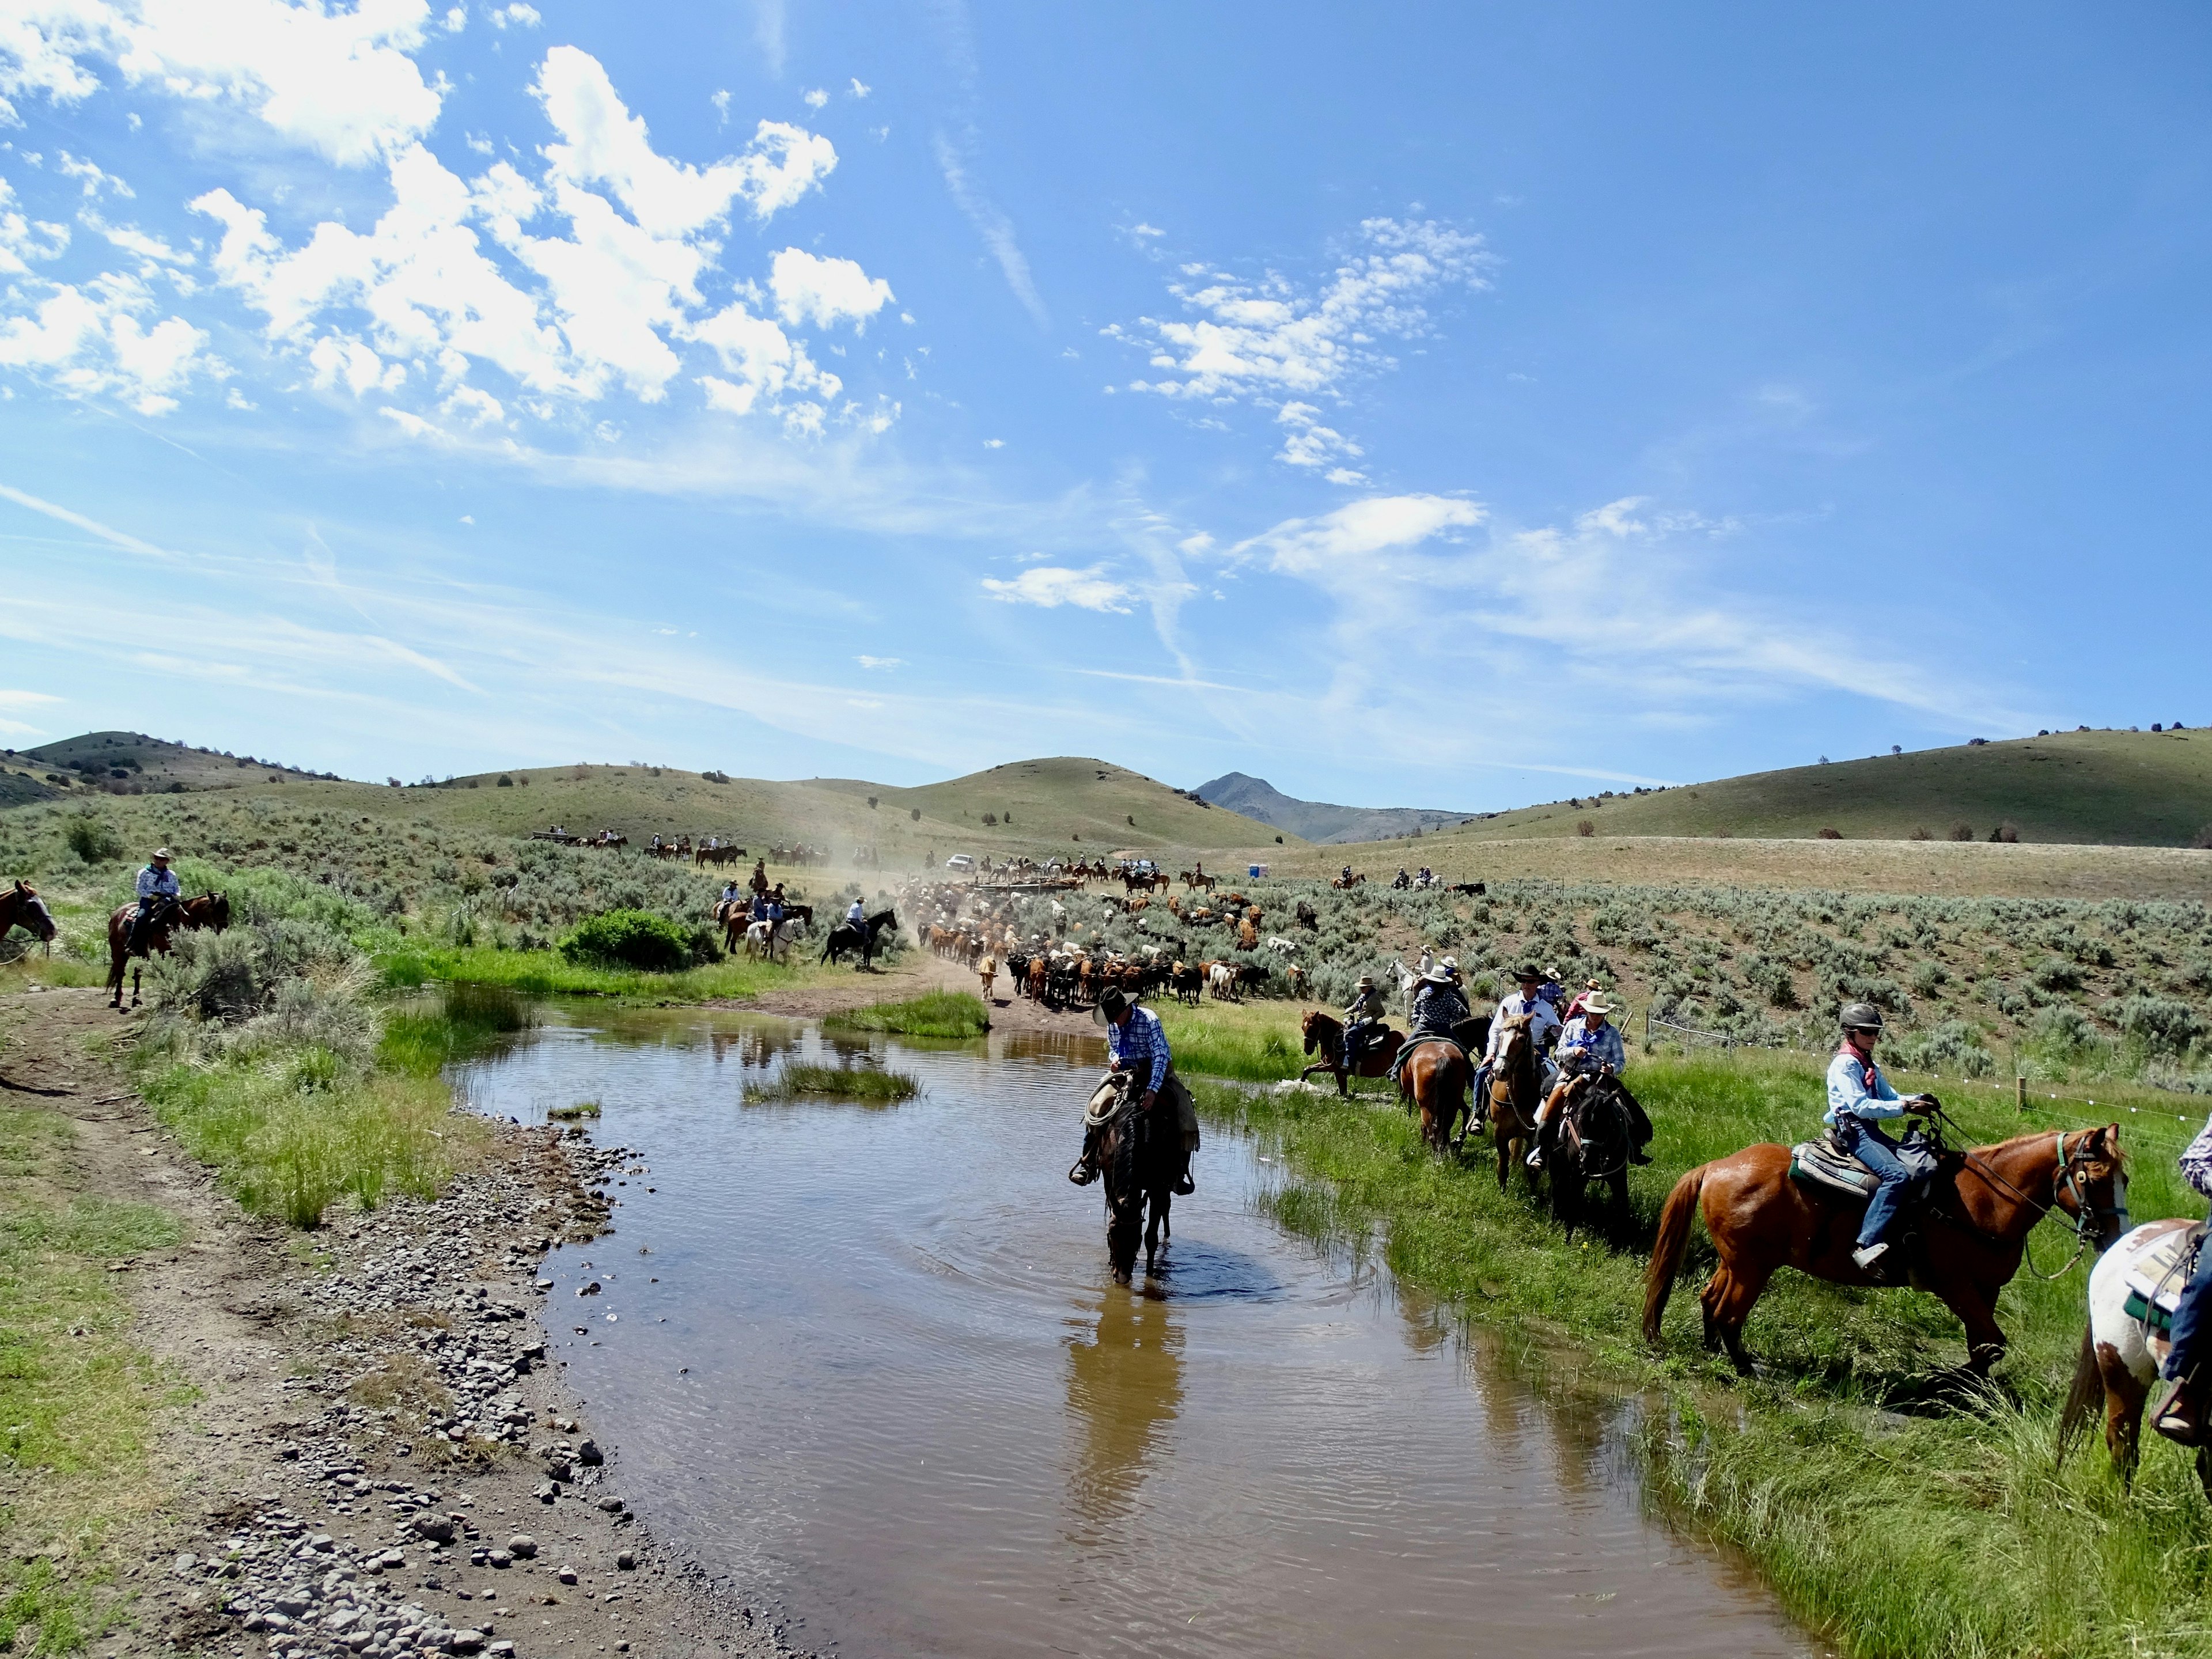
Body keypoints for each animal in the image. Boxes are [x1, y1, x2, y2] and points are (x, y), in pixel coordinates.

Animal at [104, 898, 230, 1013]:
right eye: (215, 909)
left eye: (227, 910)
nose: (223, 927)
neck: (176, 920)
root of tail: (118, 911)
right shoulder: (164, 954)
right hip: (118, 951)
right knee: (120, 973)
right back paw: (115, 1000)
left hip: (142, 956)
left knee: (137, 974)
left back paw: (136, 1000)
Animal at [1291, 1013, 1397, 1106]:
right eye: (1303, 1027)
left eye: (1312, 1028)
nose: (1307, 1050)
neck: (1336, 1041)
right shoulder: (1328, 1066)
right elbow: (1308, 1069)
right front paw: (1300, 1084)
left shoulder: (1336, 1070)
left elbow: (1343, 1092)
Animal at [1397, 1039, 1468, 1159]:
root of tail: (1443, 1057)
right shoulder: (1458, 1101)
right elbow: (1466, 1111)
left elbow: (1423, 1127)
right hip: (1453, 1103)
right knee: (1446, 1129)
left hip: (1426, 1107)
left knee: (1432, 1132)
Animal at [1645, 1123, 2123, 1380]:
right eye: (2095, 1178)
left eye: (2126, 1180)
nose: (2113, 1236)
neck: (1983, 1201)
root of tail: (1716, 1167)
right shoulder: (1954, 1287)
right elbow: (1992, 1345)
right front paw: (1947, 1383)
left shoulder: (1985, 1290)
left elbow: (1984, 1346)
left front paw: (1970, 1389)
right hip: (1753, 1267)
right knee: (1729, 1313)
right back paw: (1745, 1367)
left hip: (1736, 1261)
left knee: (1710, 1299)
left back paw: (1713, 1351)